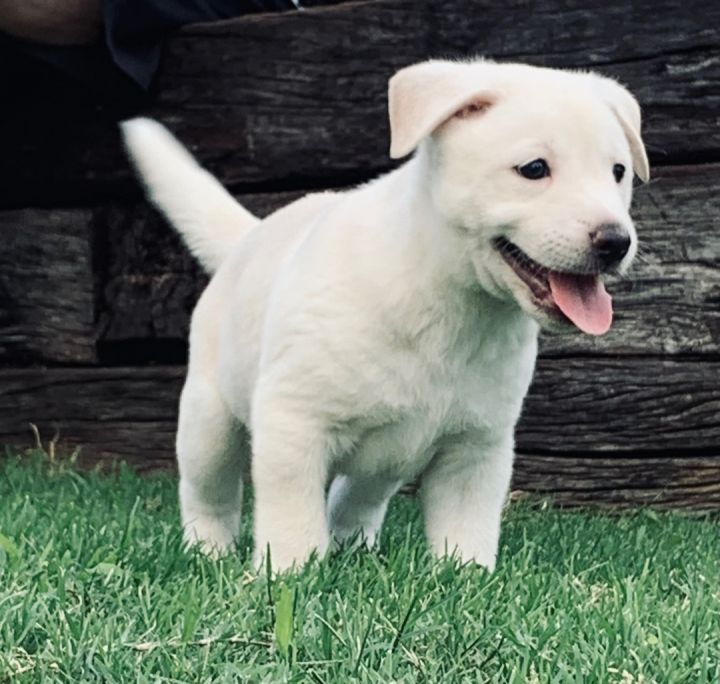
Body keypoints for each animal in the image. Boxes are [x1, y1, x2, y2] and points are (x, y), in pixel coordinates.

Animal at [121, 58, 648, 572]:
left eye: (618, 172)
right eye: (534, 169)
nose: (615, 241)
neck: (451, 305)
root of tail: (249, 237)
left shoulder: (477, 449)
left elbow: (467, 534)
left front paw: (466, 580)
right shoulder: (293, 426)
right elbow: (292, 518)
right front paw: (291, 575)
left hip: (386, 459)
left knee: (353, 498)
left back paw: (355, 551)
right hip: (209, 421)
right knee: (208, 493)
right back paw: (208, 550)